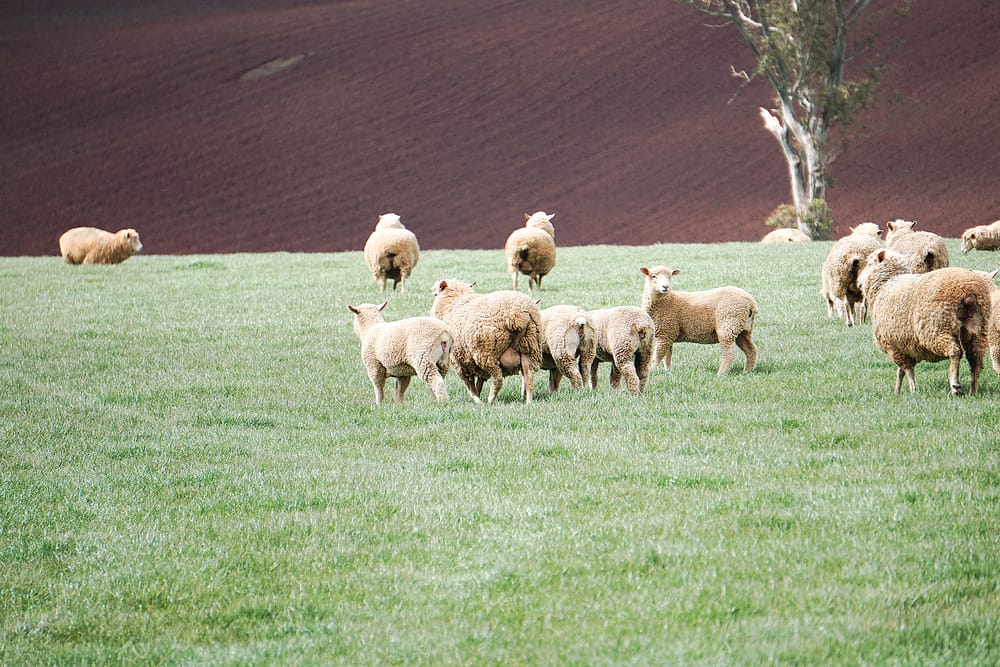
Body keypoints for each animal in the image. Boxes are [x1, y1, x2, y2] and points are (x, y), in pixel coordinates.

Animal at [858, 249, 993, 395]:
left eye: (869, 263)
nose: (858, 283)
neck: (886, 284)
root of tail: (968, 291)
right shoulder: (904, 346)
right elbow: (900, 372)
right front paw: (897, 391)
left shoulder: (893, 347)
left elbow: (907, 370)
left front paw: (912, 390)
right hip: (978, 331)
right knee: (976, 361)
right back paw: (973, 390)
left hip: (937, 329)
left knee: (955, 352)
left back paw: (955, 385)